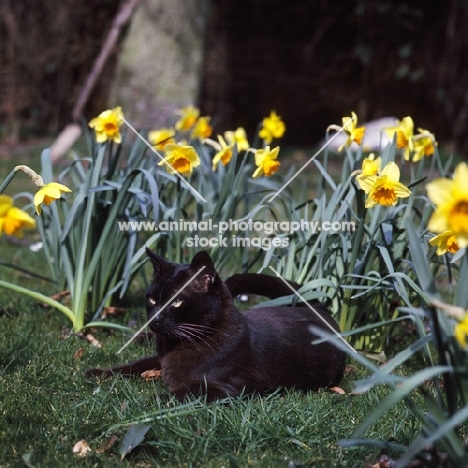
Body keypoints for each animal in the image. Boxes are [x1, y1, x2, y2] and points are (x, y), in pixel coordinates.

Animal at [86, 250, 346, 400]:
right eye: (151, 299)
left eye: (177, 301)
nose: (155, 319)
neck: (173, 347)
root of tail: (321, 311)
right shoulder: (157, 359)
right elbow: (134, 364)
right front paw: (97, 373)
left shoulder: (225, 390)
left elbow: (177, 394)